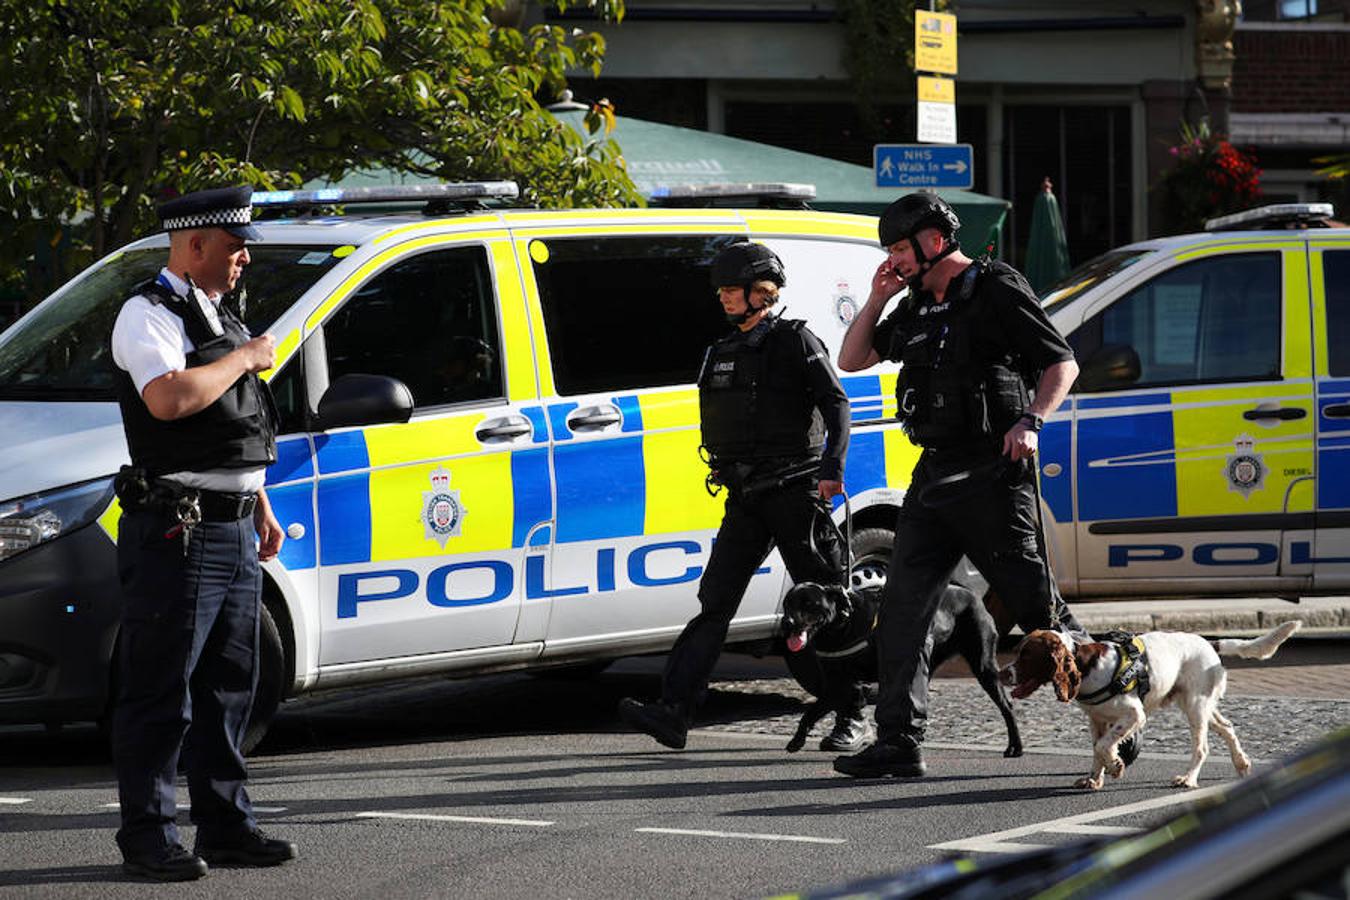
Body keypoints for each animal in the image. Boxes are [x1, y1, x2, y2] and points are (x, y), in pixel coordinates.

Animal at [783, 580, 1020, 755]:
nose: (788, 622)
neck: (843, 623)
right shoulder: (839, 684)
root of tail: (973, 597)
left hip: (983, 666)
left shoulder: (840, 687)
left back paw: (1015, 747)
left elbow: (810, 713)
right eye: (787, 605)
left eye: (809, 603)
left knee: (1007, 706)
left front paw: (797, 740)